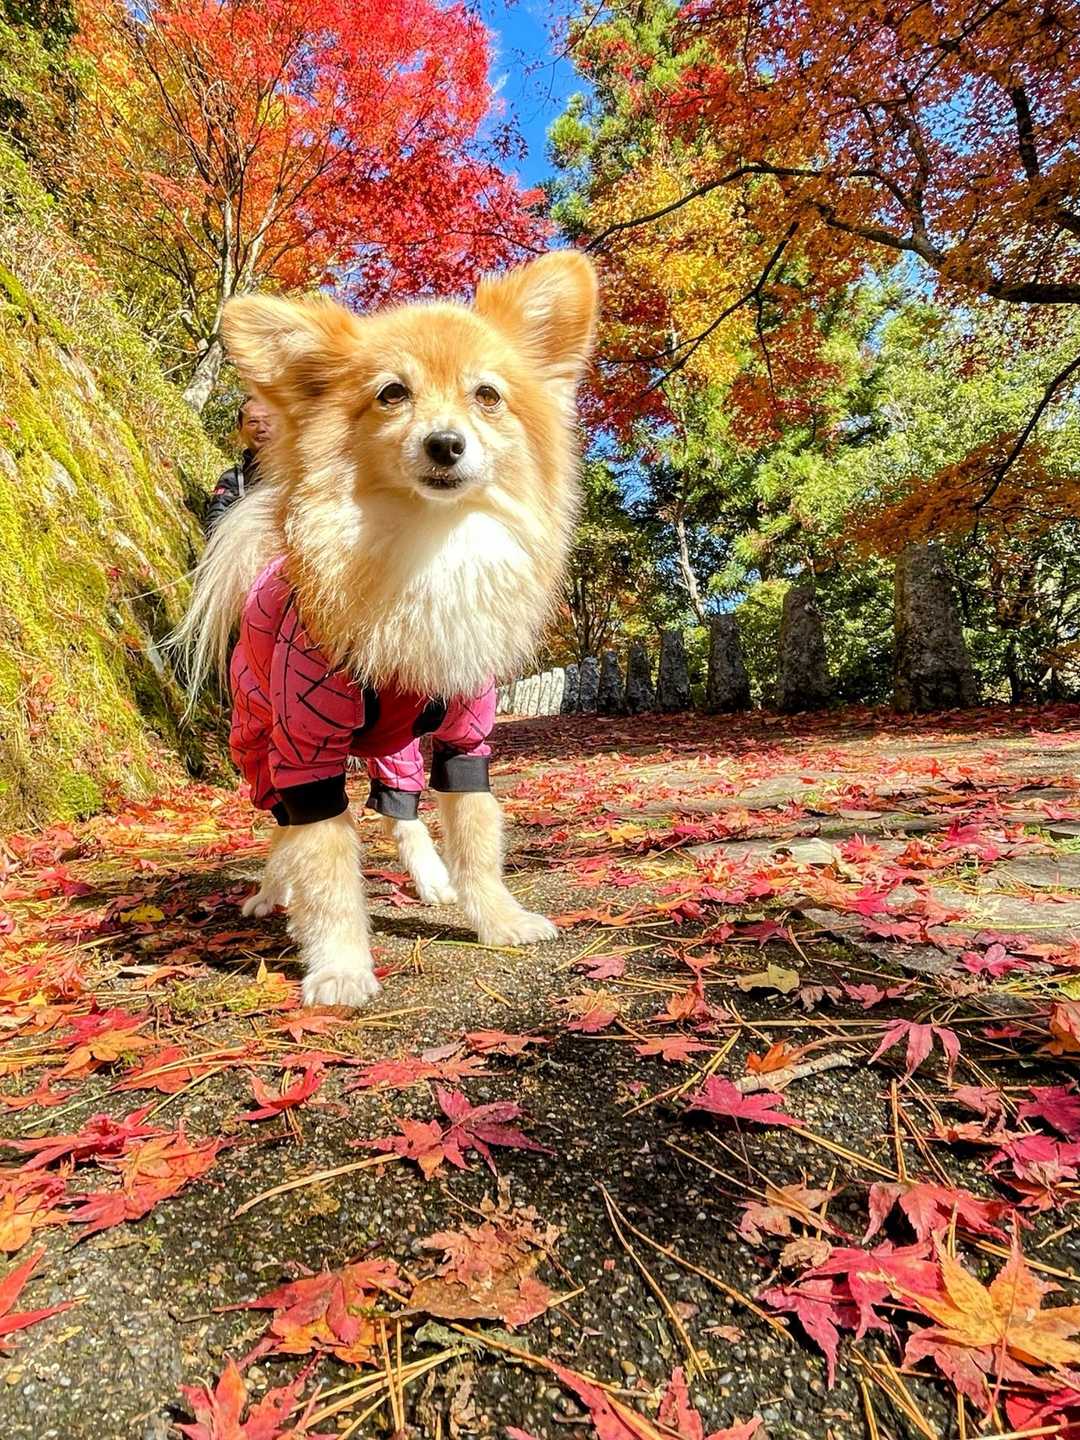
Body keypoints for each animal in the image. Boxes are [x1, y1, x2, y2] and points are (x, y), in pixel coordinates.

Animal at [176, 251, 598, 1006]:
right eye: (392, 394)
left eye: (487, 395)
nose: (445, 443)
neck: (427, 545)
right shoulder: (305, 746)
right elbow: (324, 869)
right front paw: (340, 964)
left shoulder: (466, 733)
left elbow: (476, 835)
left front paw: (496, 917)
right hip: (258, 743)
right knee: (279, 830)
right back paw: (270, 894)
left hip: (395, 748)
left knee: (400, 808)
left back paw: (431, 879)